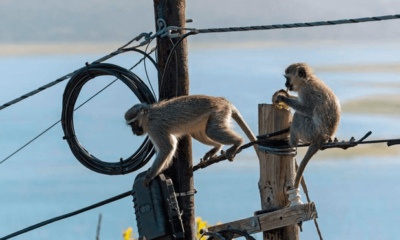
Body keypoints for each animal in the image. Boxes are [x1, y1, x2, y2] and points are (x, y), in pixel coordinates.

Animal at [123, 94, 258, 187]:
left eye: (134, 123)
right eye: (130, 125)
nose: (134, 131)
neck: (148, 116)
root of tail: (223, 100)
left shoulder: (155, 127)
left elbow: (168, 147)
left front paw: (150, 175)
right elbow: (170, 147)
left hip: (219, 111)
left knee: (212, 130)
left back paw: (238, 142)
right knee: (199, 133)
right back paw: (217, 147)